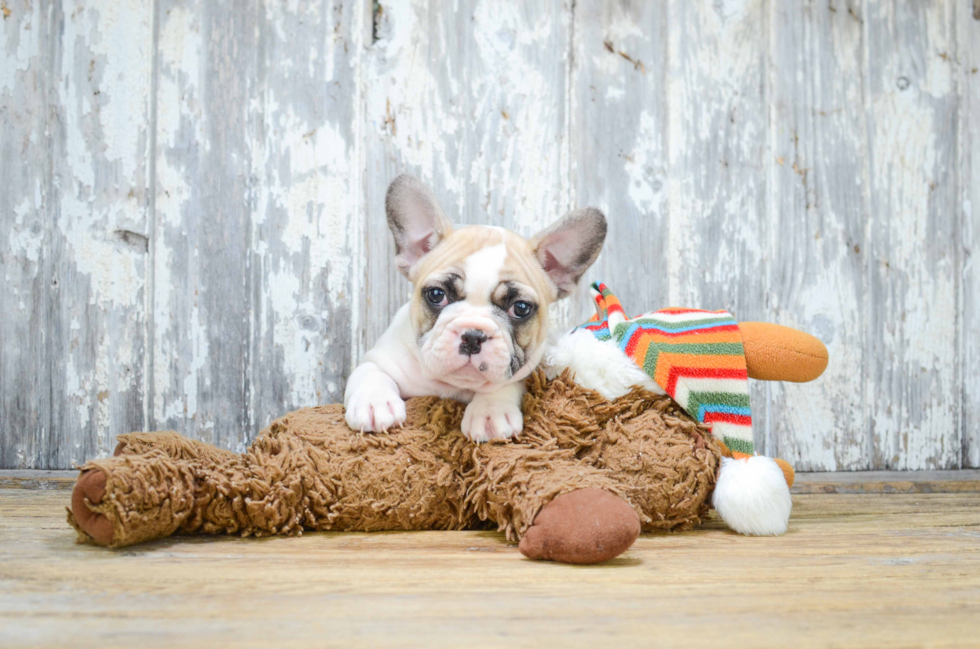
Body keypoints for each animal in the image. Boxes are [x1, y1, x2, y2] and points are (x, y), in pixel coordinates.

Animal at [344, 175, 604, 442]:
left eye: (521, 308)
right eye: (436, 295)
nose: (472, 335)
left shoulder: (529, 375)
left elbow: (505, 384)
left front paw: (490, 412)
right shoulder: (379, 358)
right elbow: (371, 373)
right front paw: (374, 403)